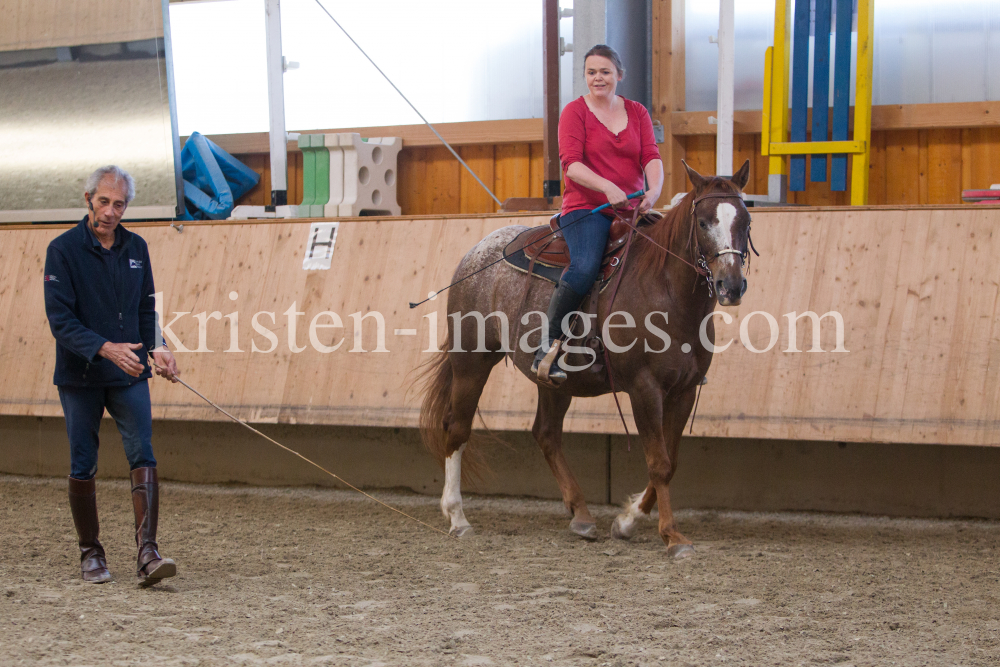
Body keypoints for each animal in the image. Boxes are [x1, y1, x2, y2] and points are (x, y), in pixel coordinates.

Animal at [418, 162, 752, 560]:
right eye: (703, 222)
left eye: (746, 219)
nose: (731, 285)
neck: (666, 289)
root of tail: (476, 254)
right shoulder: (644, 389)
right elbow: (659, 462)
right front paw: (672, 536)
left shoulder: (684, 391)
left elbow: (671, 460)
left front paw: (627, 522)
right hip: (471, 361)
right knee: (457, 427)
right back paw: (457, 517)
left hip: (552, 380)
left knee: (546, 433)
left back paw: (580, 514)